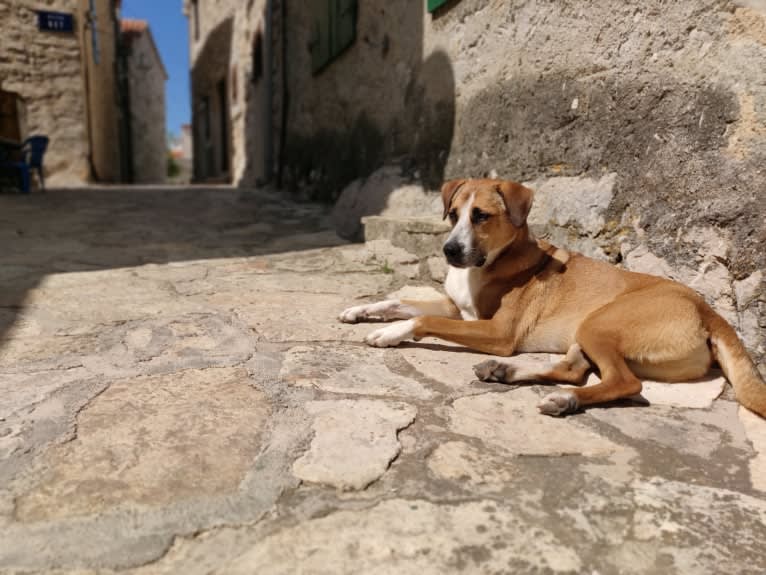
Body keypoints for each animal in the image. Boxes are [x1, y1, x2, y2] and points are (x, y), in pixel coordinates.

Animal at [342, 178, 766, 416]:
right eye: (453, 214)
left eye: (481, 216)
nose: (449, 251)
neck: (495, 259)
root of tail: (707, 311)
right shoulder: (457, 309)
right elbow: (397, 302)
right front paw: (360, 310)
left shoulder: (498, 332)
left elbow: (423, 319)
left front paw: (390, 334)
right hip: (585, 334)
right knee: (576, 370)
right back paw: (510, 374)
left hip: (599, 324)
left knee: (626, 383)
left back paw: (564, 400)